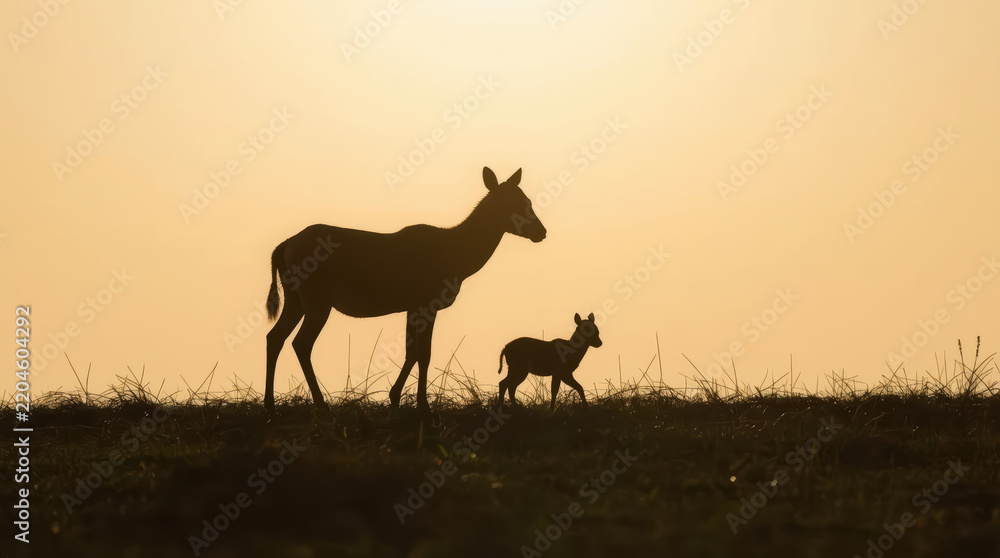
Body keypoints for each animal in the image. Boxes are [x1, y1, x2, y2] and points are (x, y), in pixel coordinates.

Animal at [264, 167, 546, 417]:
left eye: (527, 199)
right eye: (515, 203)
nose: (541, 231)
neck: (459, 260)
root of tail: (282, 247)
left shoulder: (412, 306)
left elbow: (412, 353)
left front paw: (395, 398)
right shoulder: (426, 301)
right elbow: (424, 354)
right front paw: (423, 406)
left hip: (295, 297)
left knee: (274, 337)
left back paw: (270, 405)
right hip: (316, 298)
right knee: (301, 343)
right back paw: (321, 405)